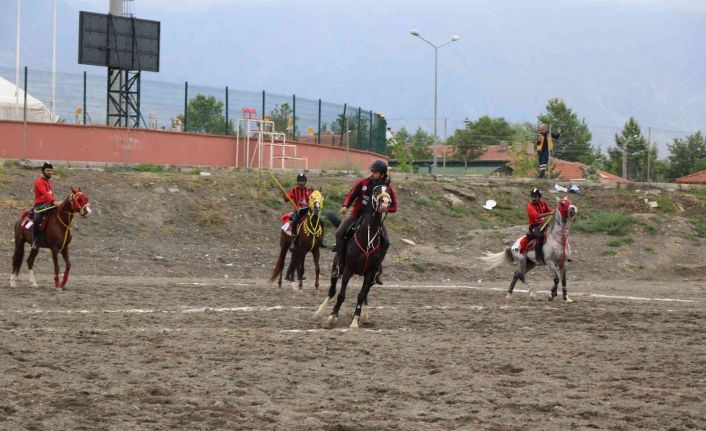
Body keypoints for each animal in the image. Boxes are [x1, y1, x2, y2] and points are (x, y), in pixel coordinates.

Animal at [314, 184, 390, 330]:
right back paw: (319, 312)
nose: (384, 203)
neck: (367, 239)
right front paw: (332, 317)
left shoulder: (370, 273)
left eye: (388, 190)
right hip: (337, 269)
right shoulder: (348, 270)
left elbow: (361, 296)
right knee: (332, 290)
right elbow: (341, 295)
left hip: (371, 278)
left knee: (365, 294)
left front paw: (355, 321)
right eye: (376, 190)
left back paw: (364, 316)